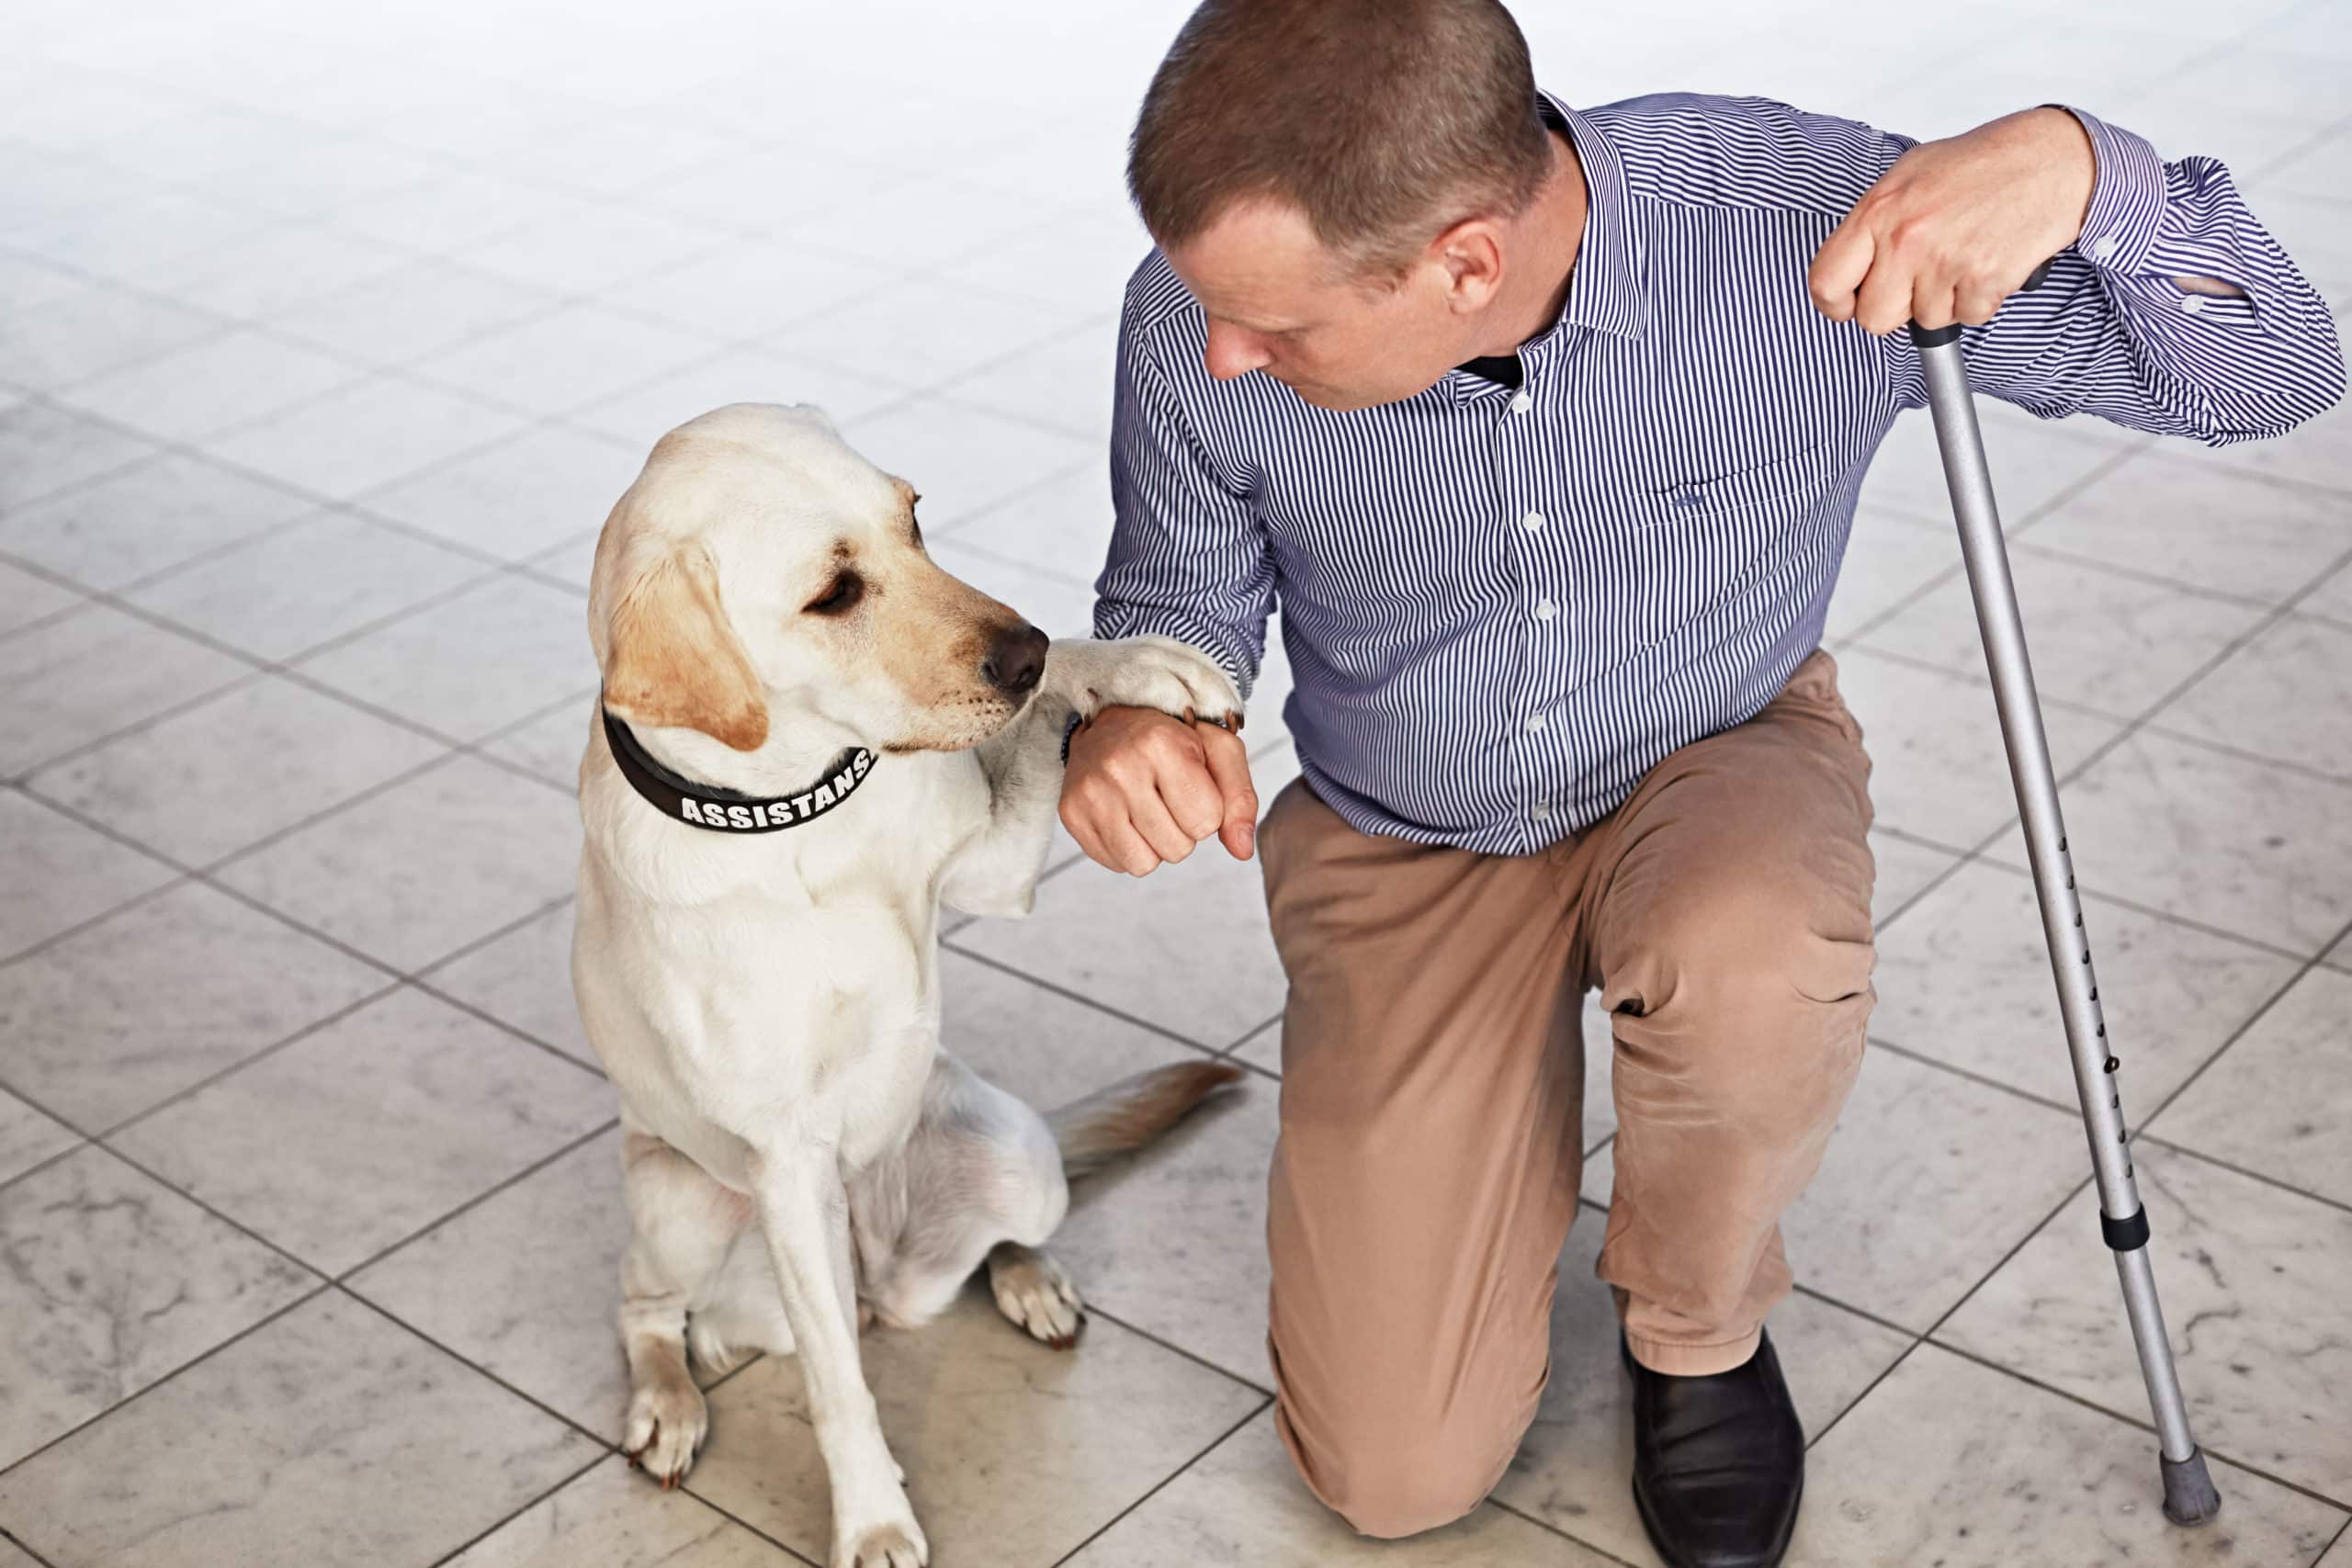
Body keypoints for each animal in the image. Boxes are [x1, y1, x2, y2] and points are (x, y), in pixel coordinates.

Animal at [571, 400, 1250, 1561]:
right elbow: (840, 1393)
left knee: (1000, 1240)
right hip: (683, 1200)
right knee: (643, 1305)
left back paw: (1030, 1281)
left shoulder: (996, 868)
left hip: (1011, 1154)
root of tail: (884, 1287)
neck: (796, 816)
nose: (1018, 652)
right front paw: (872, 1517)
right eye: (833, 593)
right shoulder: (787, 1160)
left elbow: (1056, 706)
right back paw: (667, 1401)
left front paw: (1139, 664)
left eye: (915, 519)